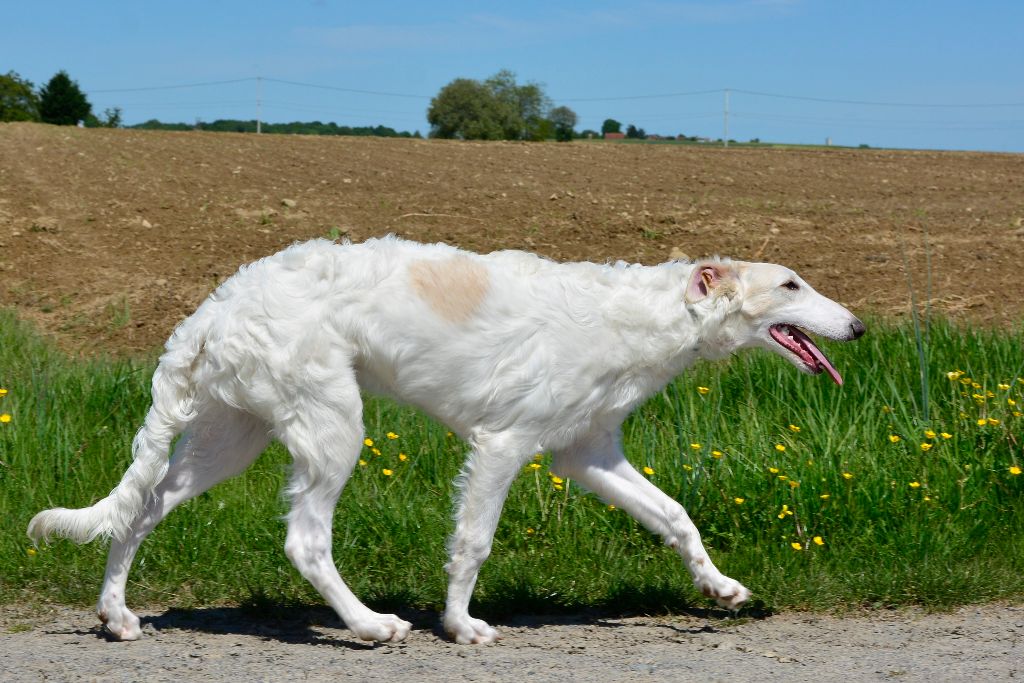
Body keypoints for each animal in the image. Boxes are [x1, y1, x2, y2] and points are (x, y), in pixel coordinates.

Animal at [28, 237, 864, 643]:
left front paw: (721, 586)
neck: (641, 318)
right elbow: (473, 543)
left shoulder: (588, 451)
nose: (858, 326)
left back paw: (117, 614)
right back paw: (369, 625)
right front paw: (461, 625)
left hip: (230, 436)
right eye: (791, 284)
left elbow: (676, 516)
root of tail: (214, 304)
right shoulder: (503, 444)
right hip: (332, 426)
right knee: (305, 540)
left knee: (139, 511)